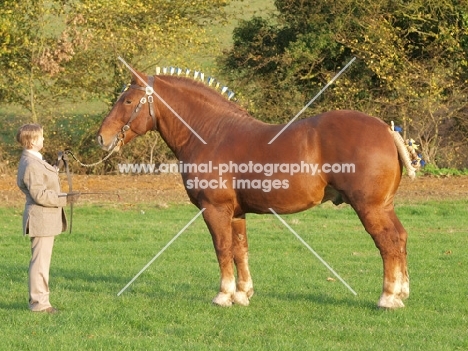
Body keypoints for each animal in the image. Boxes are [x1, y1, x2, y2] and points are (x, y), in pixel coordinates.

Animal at [98, 70, 416, 310]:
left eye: (128, 100)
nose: (101, 137)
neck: (211, 134)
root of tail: (387, 129)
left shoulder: (215, 209)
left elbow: (222, 248)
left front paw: (223, 295)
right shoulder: (237, 213)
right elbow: (240, 250)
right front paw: (242, 294)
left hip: (369, 208)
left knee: (388, 243)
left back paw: (388, 297)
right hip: (384, 206)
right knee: (400, 238)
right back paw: (402, 292)